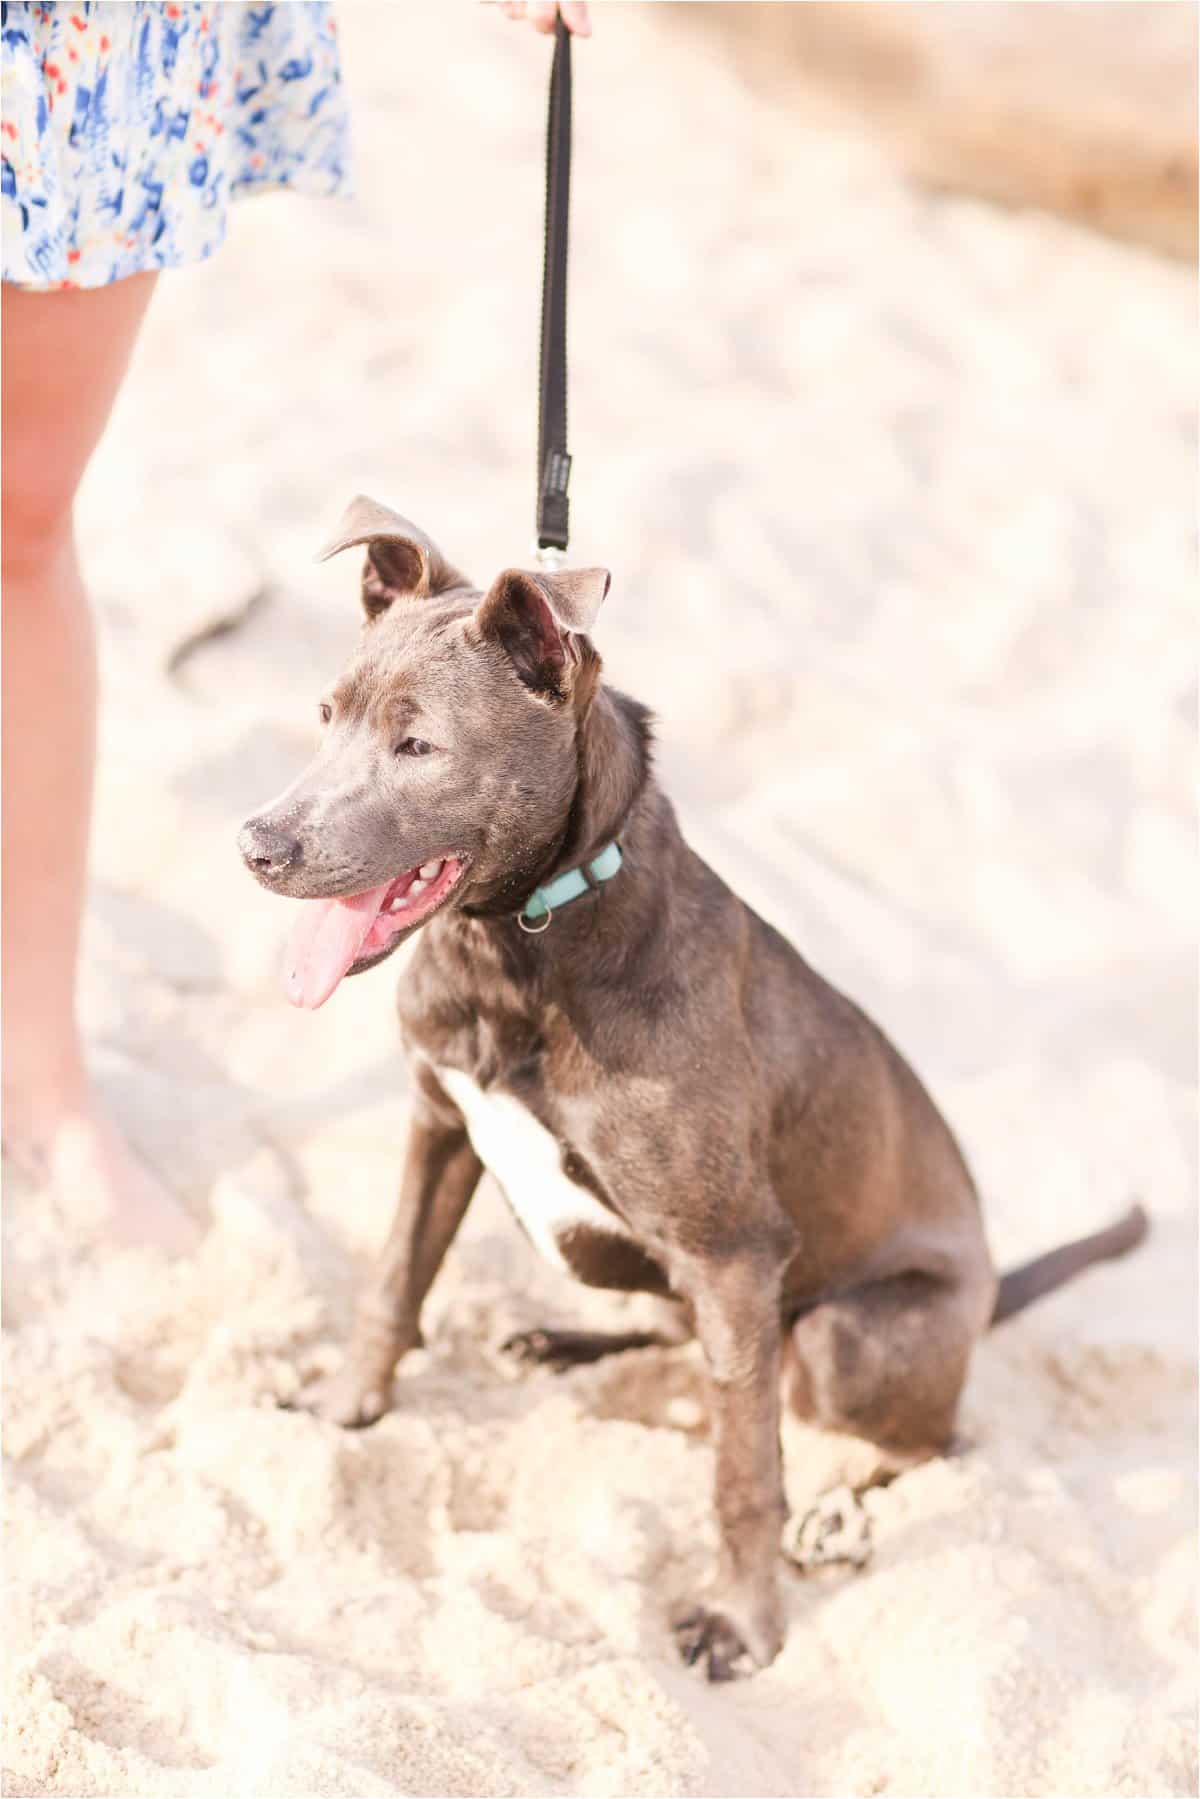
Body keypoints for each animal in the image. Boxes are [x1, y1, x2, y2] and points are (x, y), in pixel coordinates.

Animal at [239, 500, 1151, 1676]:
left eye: (419, 744)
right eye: (325, 715)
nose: (257, 845)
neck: (526, 944)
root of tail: (995, 1286)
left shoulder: (733, 1254)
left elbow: (744, 1472)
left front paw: (743, 1619)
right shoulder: (438, 1120)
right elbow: (393, 1279)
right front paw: (348, 1403)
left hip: (848, 1336)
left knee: (928, 1438)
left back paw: (840, 1507)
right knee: (686, 1341)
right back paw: (567, 1339)